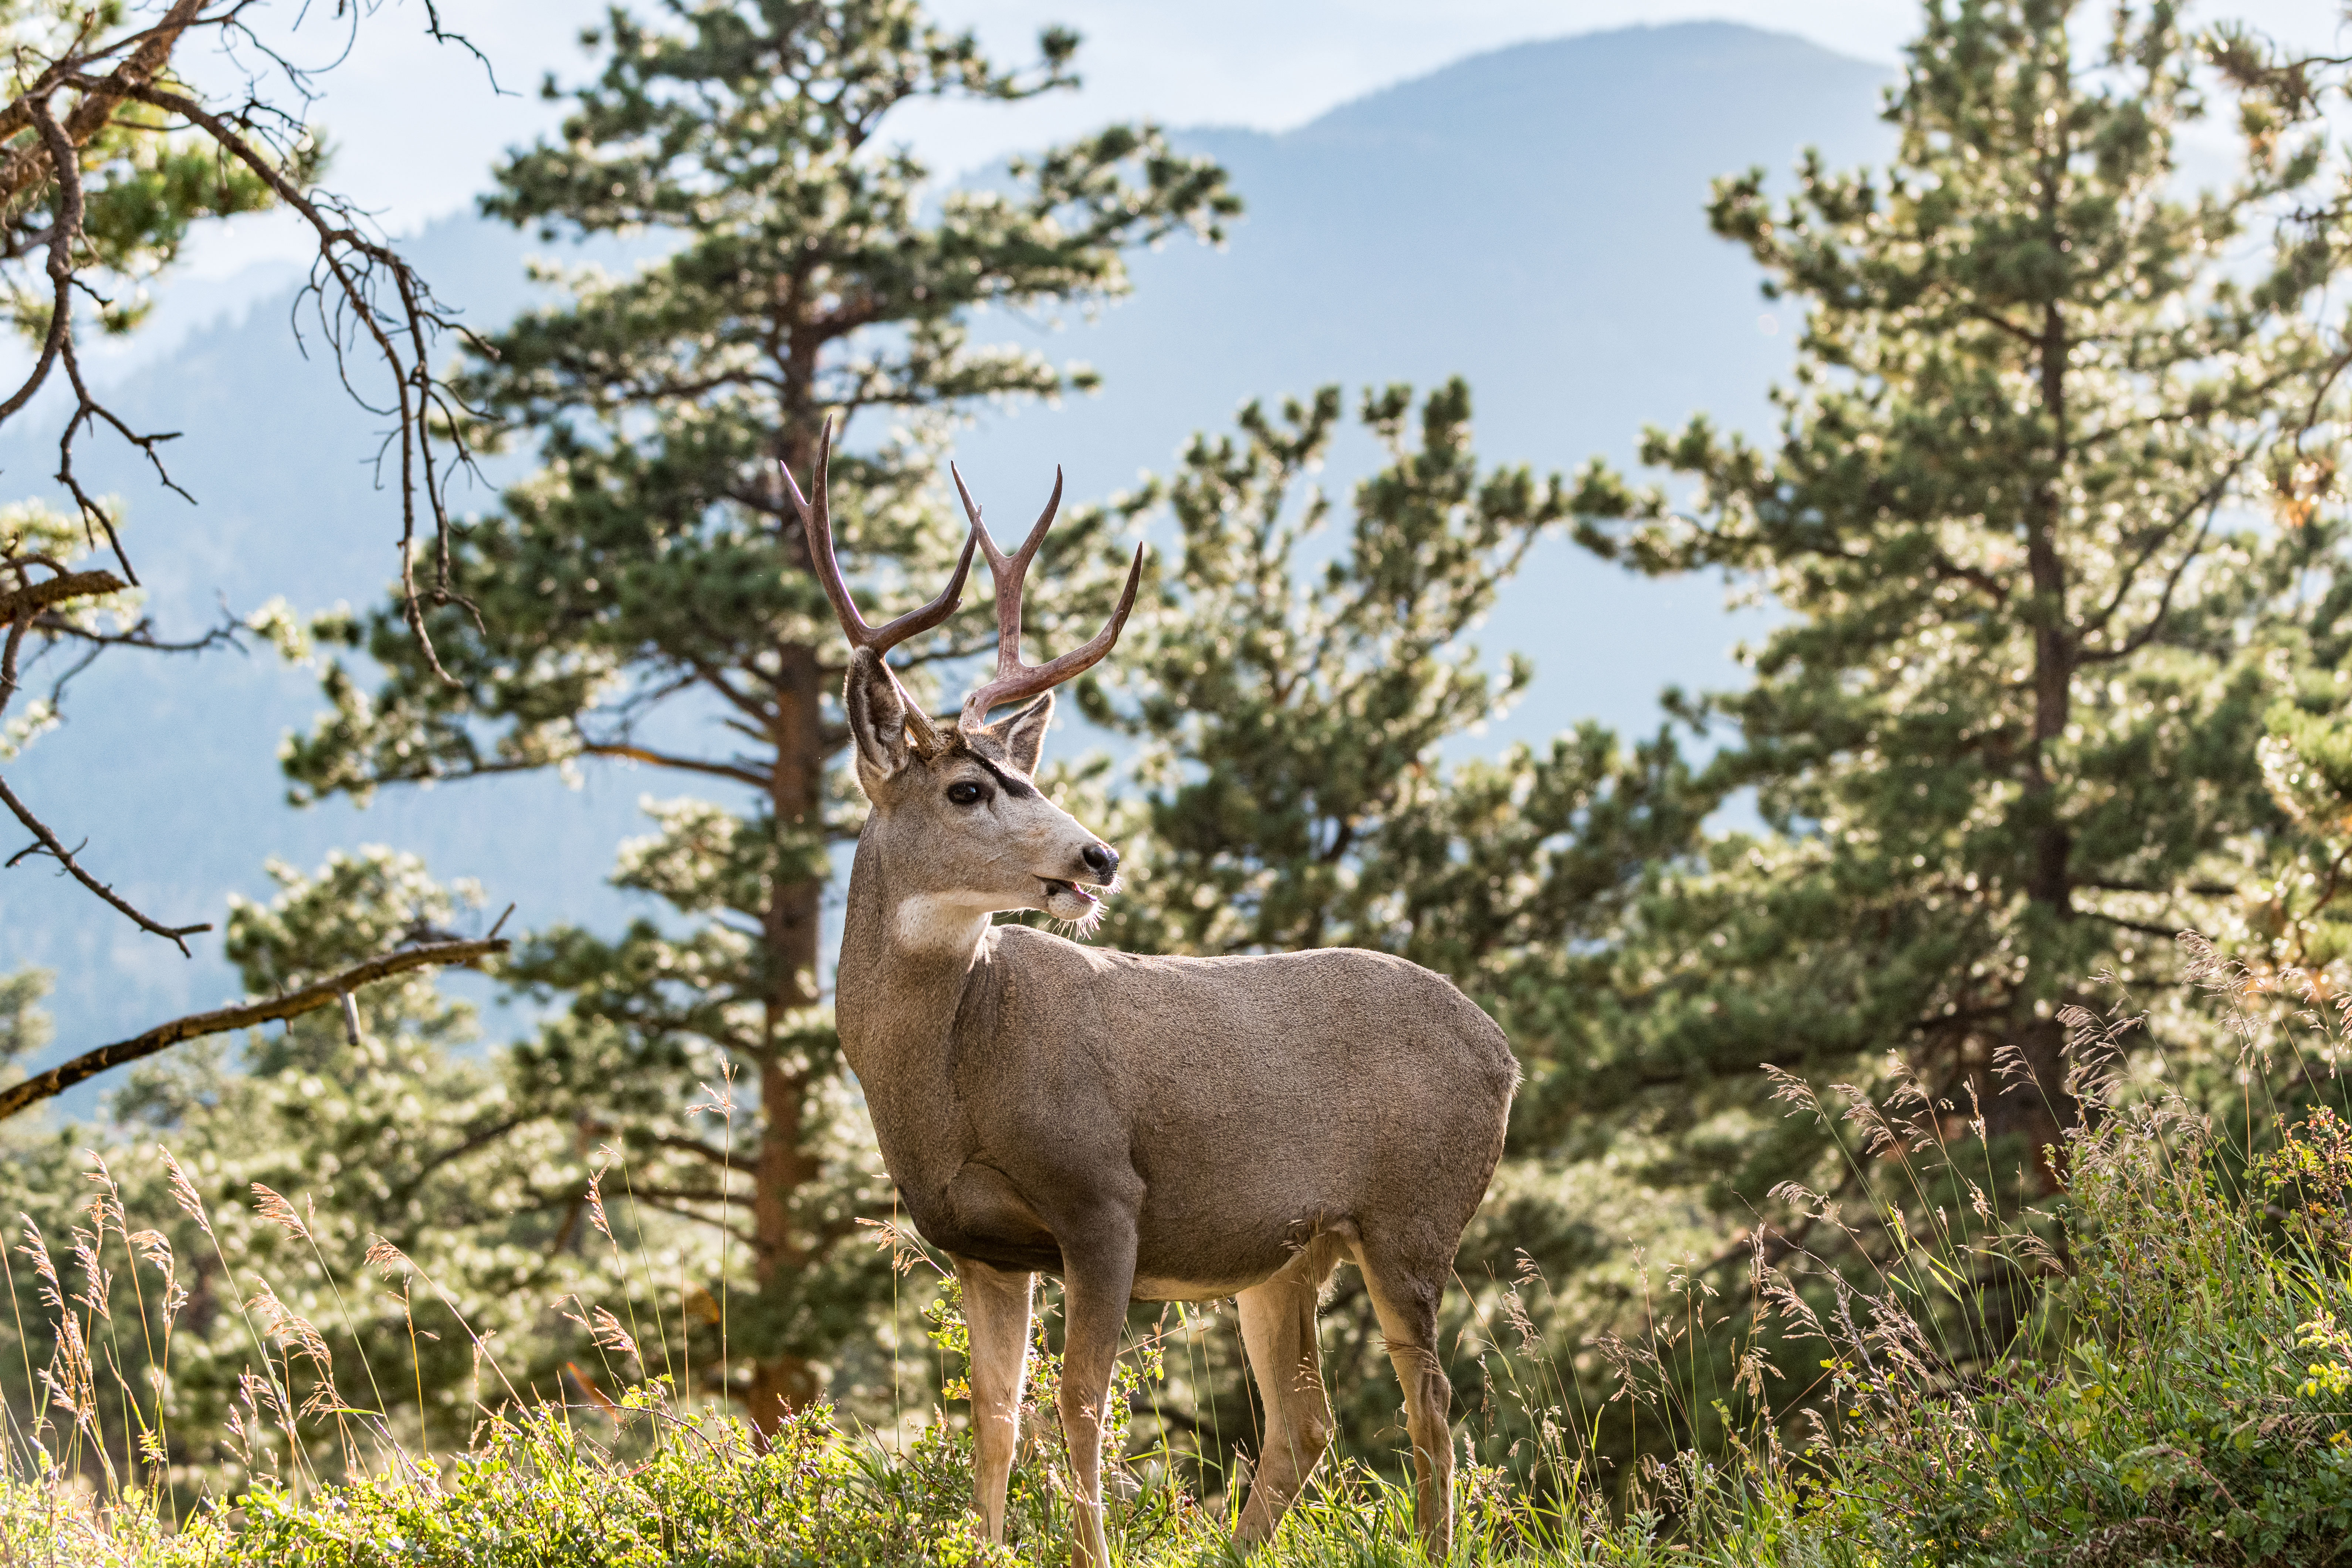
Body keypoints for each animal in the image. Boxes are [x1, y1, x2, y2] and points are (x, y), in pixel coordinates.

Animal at [789, 428, 1518, 1566]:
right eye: (968, 787)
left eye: (1026, 775)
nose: (1099, 854)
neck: (952, 1073)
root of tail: (1502, 1049)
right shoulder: (979, 1243)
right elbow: (992, 1417)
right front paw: (992, 1543)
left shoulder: (1102, 1196)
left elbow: (1079, 1403)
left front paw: (1088, 1551)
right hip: (1285, 1251)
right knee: (1307, 1418)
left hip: (1413, 1212)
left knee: (1431, 1401)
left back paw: (1431, 1545)